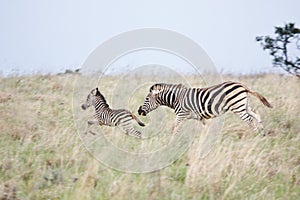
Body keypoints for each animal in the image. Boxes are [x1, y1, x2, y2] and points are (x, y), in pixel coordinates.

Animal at [138, 81, 272, 134]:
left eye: (146, 99)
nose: (139, 111)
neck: (177, 98)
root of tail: (241, 84)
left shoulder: (181, 115)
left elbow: (175, 129)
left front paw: (171, 143)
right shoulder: (200, 118)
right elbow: (205, 129)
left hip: (237, 107)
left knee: (249, 120)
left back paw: (255, 134)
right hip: (243, 105)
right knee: (256, 114)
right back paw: (262, 132)